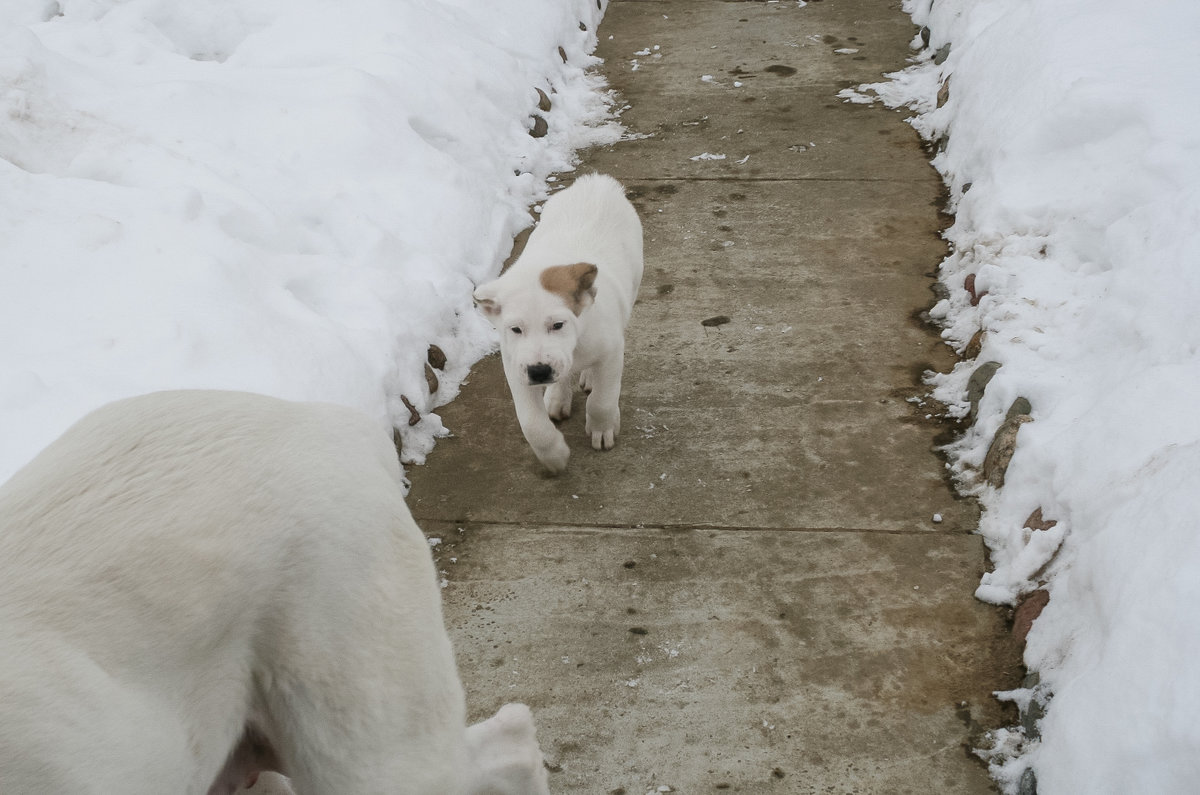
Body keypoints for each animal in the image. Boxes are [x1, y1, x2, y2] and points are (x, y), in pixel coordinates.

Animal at [470, 174, 648, 473]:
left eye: (558, 325)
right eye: (515, 329)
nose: (539, 371)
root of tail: (597, 182)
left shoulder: (612, 351)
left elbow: (602, 400)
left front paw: (602, 428)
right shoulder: (515, 364)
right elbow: (531, 423)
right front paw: (554, 456)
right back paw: (556, 396)